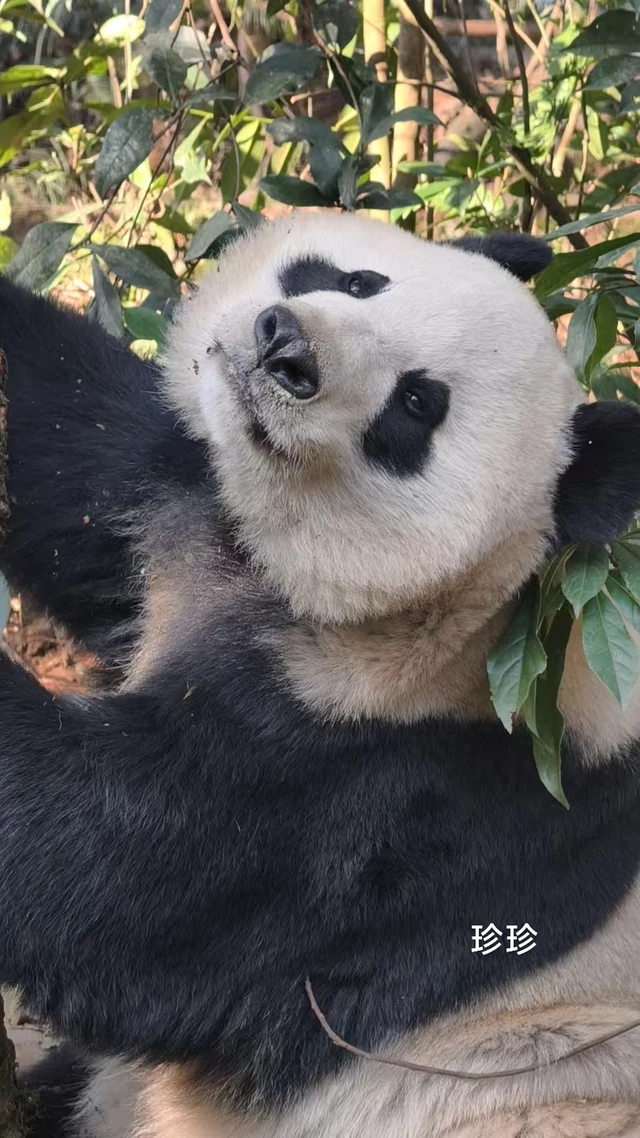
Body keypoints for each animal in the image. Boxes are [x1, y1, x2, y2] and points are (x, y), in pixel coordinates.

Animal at [1, 212, 640, 1138]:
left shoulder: (391, 798)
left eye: (418, 404)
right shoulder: (180, 506)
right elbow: (70, 431)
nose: (284, 347)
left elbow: (98, 869)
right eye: (361, 281)